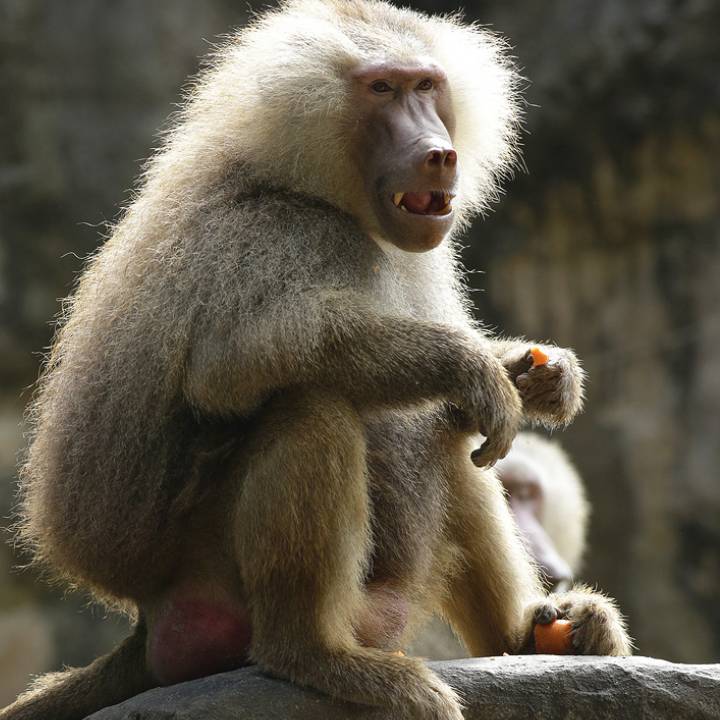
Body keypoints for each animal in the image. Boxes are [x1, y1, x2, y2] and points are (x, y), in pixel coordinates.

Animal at [1, 2, 631, 719]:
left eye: (426, 86)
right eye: (382, 89)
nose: (440, 152)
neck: (327, 195)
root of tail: (147, 615)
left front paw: (540, 375)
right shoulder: (268, 235)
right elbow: (230, 363)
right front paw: (471, 364)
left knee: (450, 436)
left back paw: (534, 637)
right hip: (212, 573)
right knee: (312, 407)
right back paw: (319, 657)